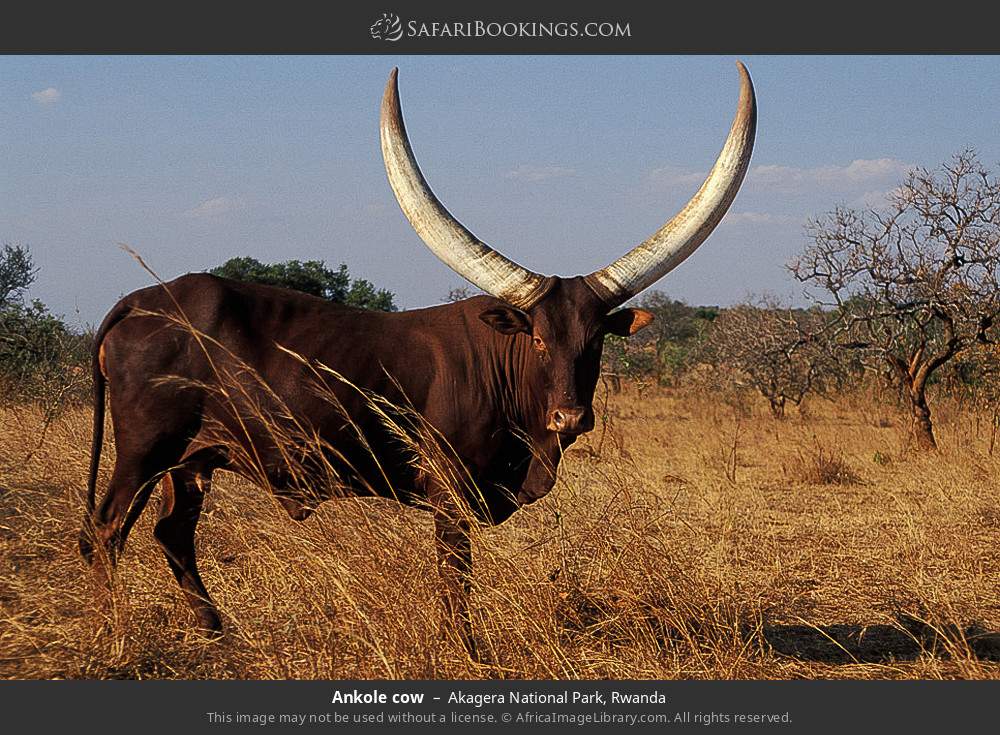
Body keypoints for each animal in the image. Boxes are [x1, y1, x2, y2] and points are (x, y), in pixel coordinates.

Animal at [78, 63, 756, 658]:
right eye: (538, 339)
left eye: (595, 342)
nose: (571, 419)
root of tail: (140, 300)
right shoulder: (450, 494)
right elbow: (455, 576)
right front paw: (469, 650)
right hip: (144, 448)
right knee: (105, 531)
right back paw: (117, 639)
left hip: (192, 459)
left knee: (172, 534)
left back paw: (218, 633)